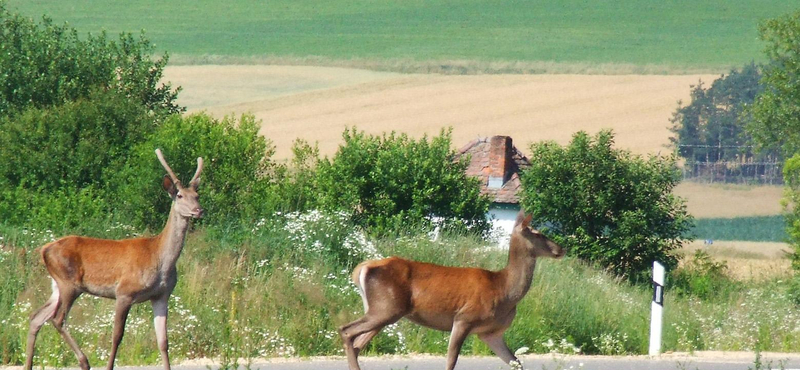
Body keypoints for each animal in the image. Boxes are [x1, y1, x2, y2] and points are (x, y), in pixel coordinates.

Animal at [25, 149, 203, 370]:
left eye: (197, 195)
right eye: (179, 195)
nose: (199, 210)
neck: (160, 259)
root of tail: (44, 249)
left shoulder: (161, 295)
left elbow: (163, 341)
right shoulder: (124, 292)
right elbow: (117, 336)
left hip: (57, 286)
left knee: (36, 317)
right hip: (68, 283)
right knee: (57, 319)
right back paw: (84, 361)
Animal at [338, 211, 564, 370]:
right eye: (538, 233)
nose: (561, 249)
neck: (504, 290)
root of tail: (361, 268)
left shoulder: (490, 333)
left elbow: (516, 362)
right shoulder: (464, 318)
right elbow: (451, 361)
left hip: (382, 310)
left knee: (357, 343)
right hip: (386, 308)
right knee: (346, 330)